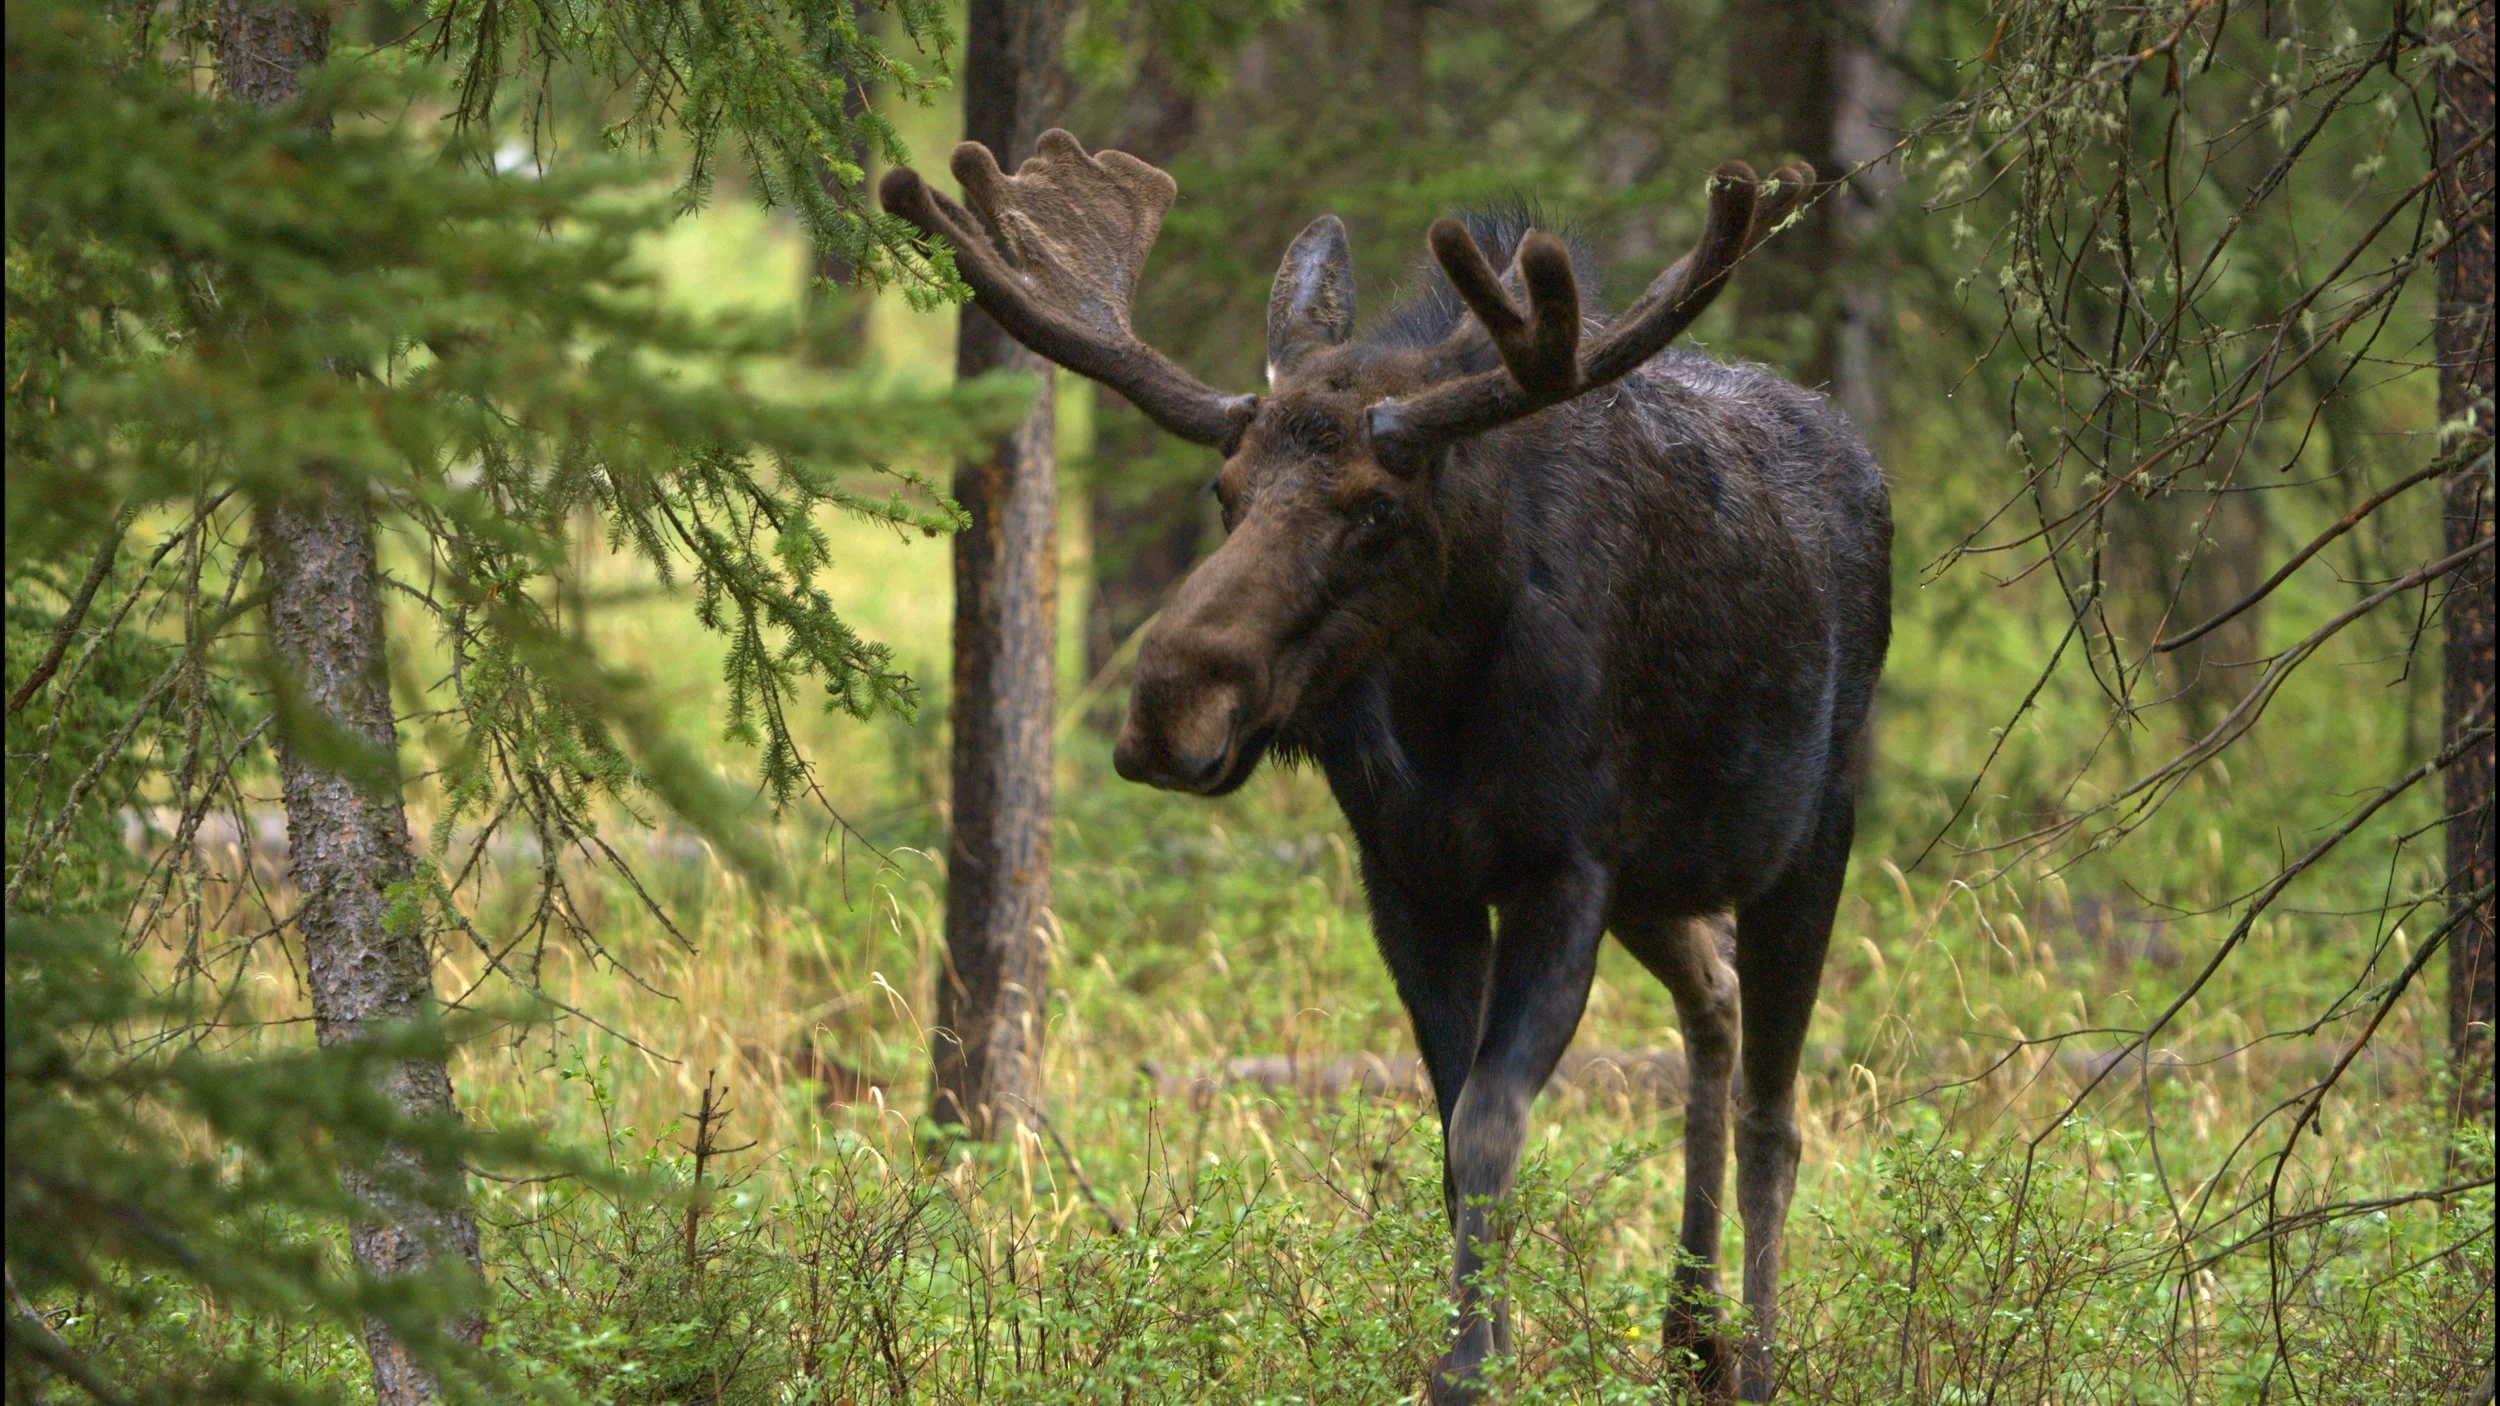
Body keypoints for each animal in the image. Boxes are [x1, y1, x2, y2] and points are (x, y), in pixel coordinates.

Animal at [882, 130, 1891, 1403]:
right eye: (1224, 491)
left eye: (1374, 512)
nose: (1167, 704)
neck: (1446, 709)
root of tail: (1865, 462)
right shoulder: (1410, 872)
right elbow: (1450, 1123)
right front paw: (1482, 1342)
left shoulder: (1566, 865)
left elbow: (1490, 1120)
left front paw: (1470, 1365)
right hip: (1662, 879)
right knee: (1708, 1002)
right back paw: (1685, 1327)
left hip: (1809, 834)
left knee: (1773, 1105)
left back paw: (1750, 1352)